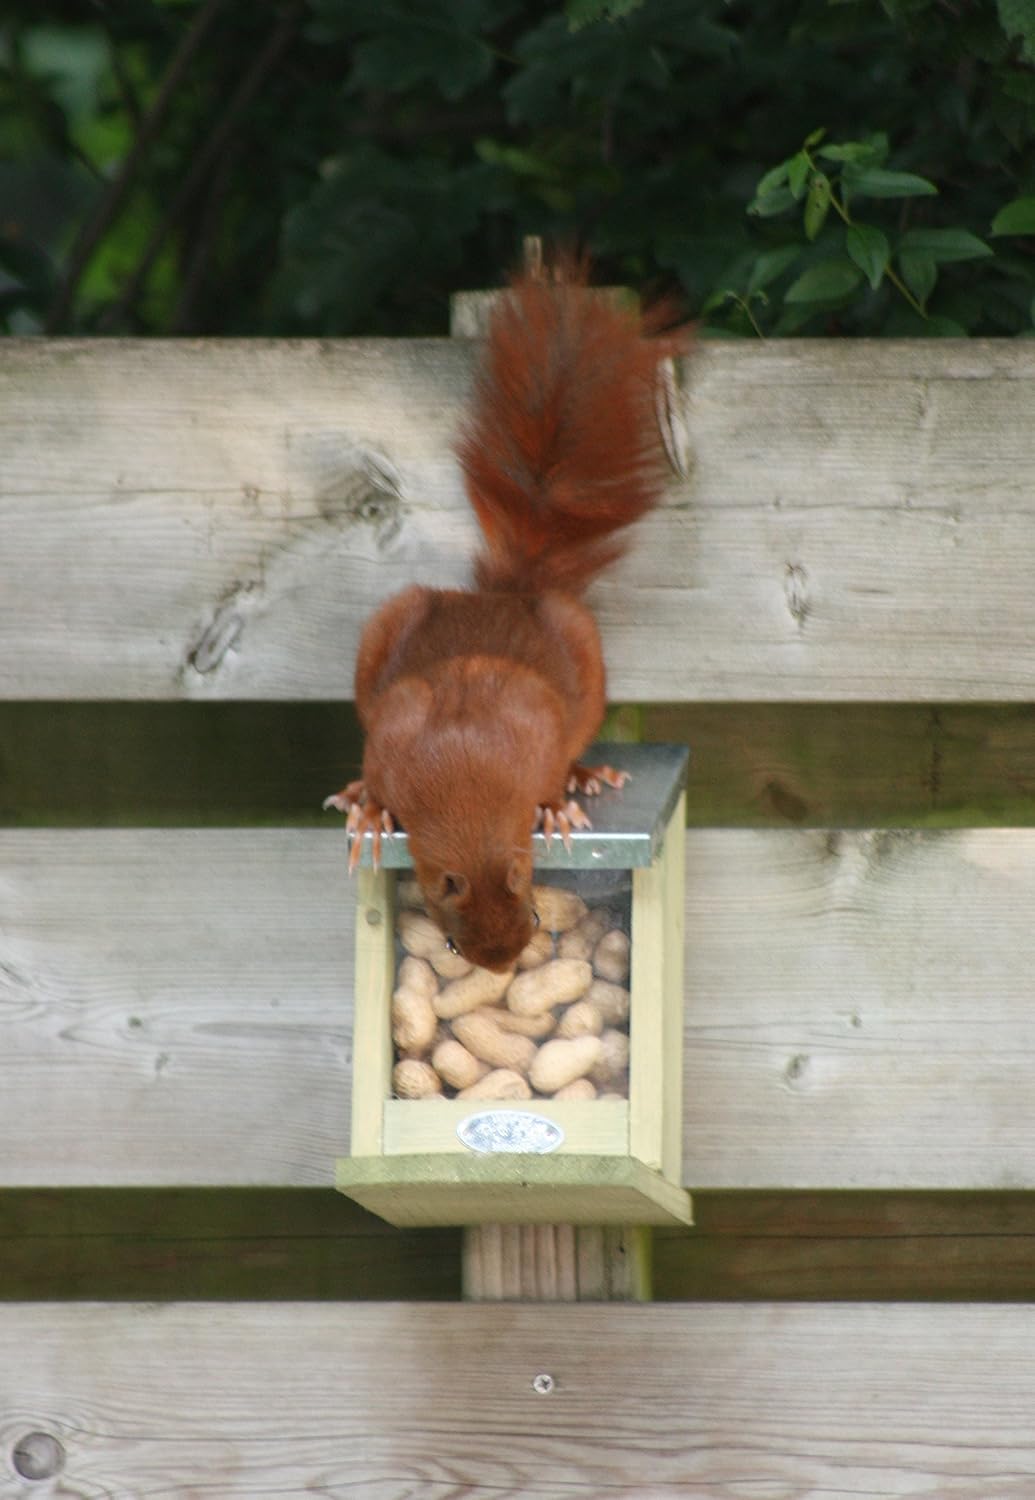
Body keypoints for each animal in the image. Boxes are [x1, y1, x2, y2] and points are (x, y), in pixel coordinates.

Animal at [325, 258, 688, 972]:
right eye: (452, 938)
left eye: (532, 899)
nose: (502, 962)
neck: (466, 784)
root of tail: (505, 595)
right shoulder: (391, 735)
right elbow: (379, 776)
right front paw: (372, 809)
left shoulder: (533, 719)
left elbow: (546, 763)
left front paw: (553, 806)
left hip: (580, 645)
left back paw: (583, 777)